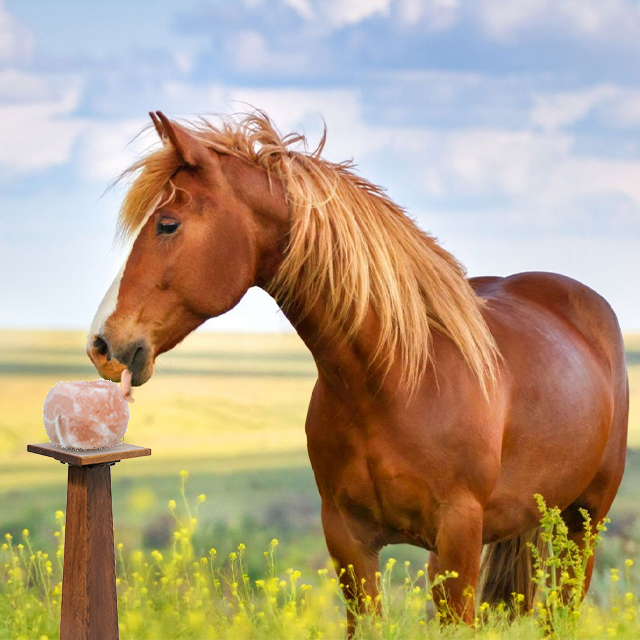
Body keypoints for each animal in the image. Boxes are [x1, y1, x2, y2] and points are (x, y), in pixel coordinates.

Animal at [86, 110, 629, 634]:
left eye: (167, 224)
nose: (101, 344)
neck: (394, 383)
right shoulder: (348, 540)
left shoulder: (458, 540)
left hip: (583, 524)